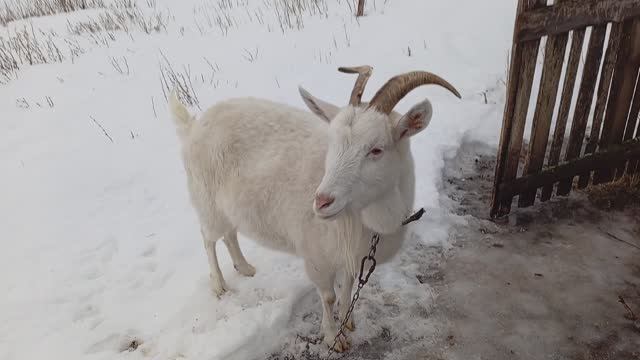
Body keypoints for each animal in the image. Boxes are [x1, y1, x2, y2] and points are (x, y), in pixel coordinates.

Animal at [170, 66, 460, 350]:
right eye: (332, 143)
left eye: (376, 150)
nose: (321, 201)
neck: (367, 218)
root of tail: (193, 126)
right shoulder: (317, 256)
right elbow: (329, 296)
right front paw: (333, 337)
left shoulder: (351, 254)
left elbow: (348, 286)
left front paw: (348, 320)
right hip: (208, 202)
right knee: (208, 238)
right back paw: (219, 285)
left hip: (230, 208)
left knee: (230, 234)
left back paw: (244, 267)